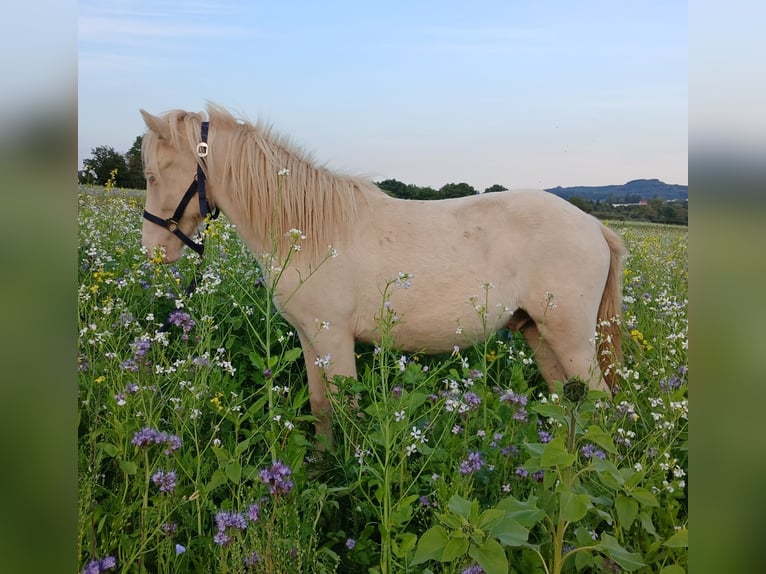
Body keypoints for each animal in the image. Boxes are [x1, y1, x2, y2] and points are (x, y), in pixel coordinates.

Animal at [139, 104, 626, 443]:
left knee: (600, 402)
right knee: (569, 402)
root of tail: (596, 226)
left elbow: (347, 408)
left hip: (570, 338)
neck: (311, 229)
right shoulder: (311, 339)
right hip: (538, 333)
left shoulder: (335, 338)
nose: (154, 251)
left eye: (151, 174)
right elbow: (321, 406)